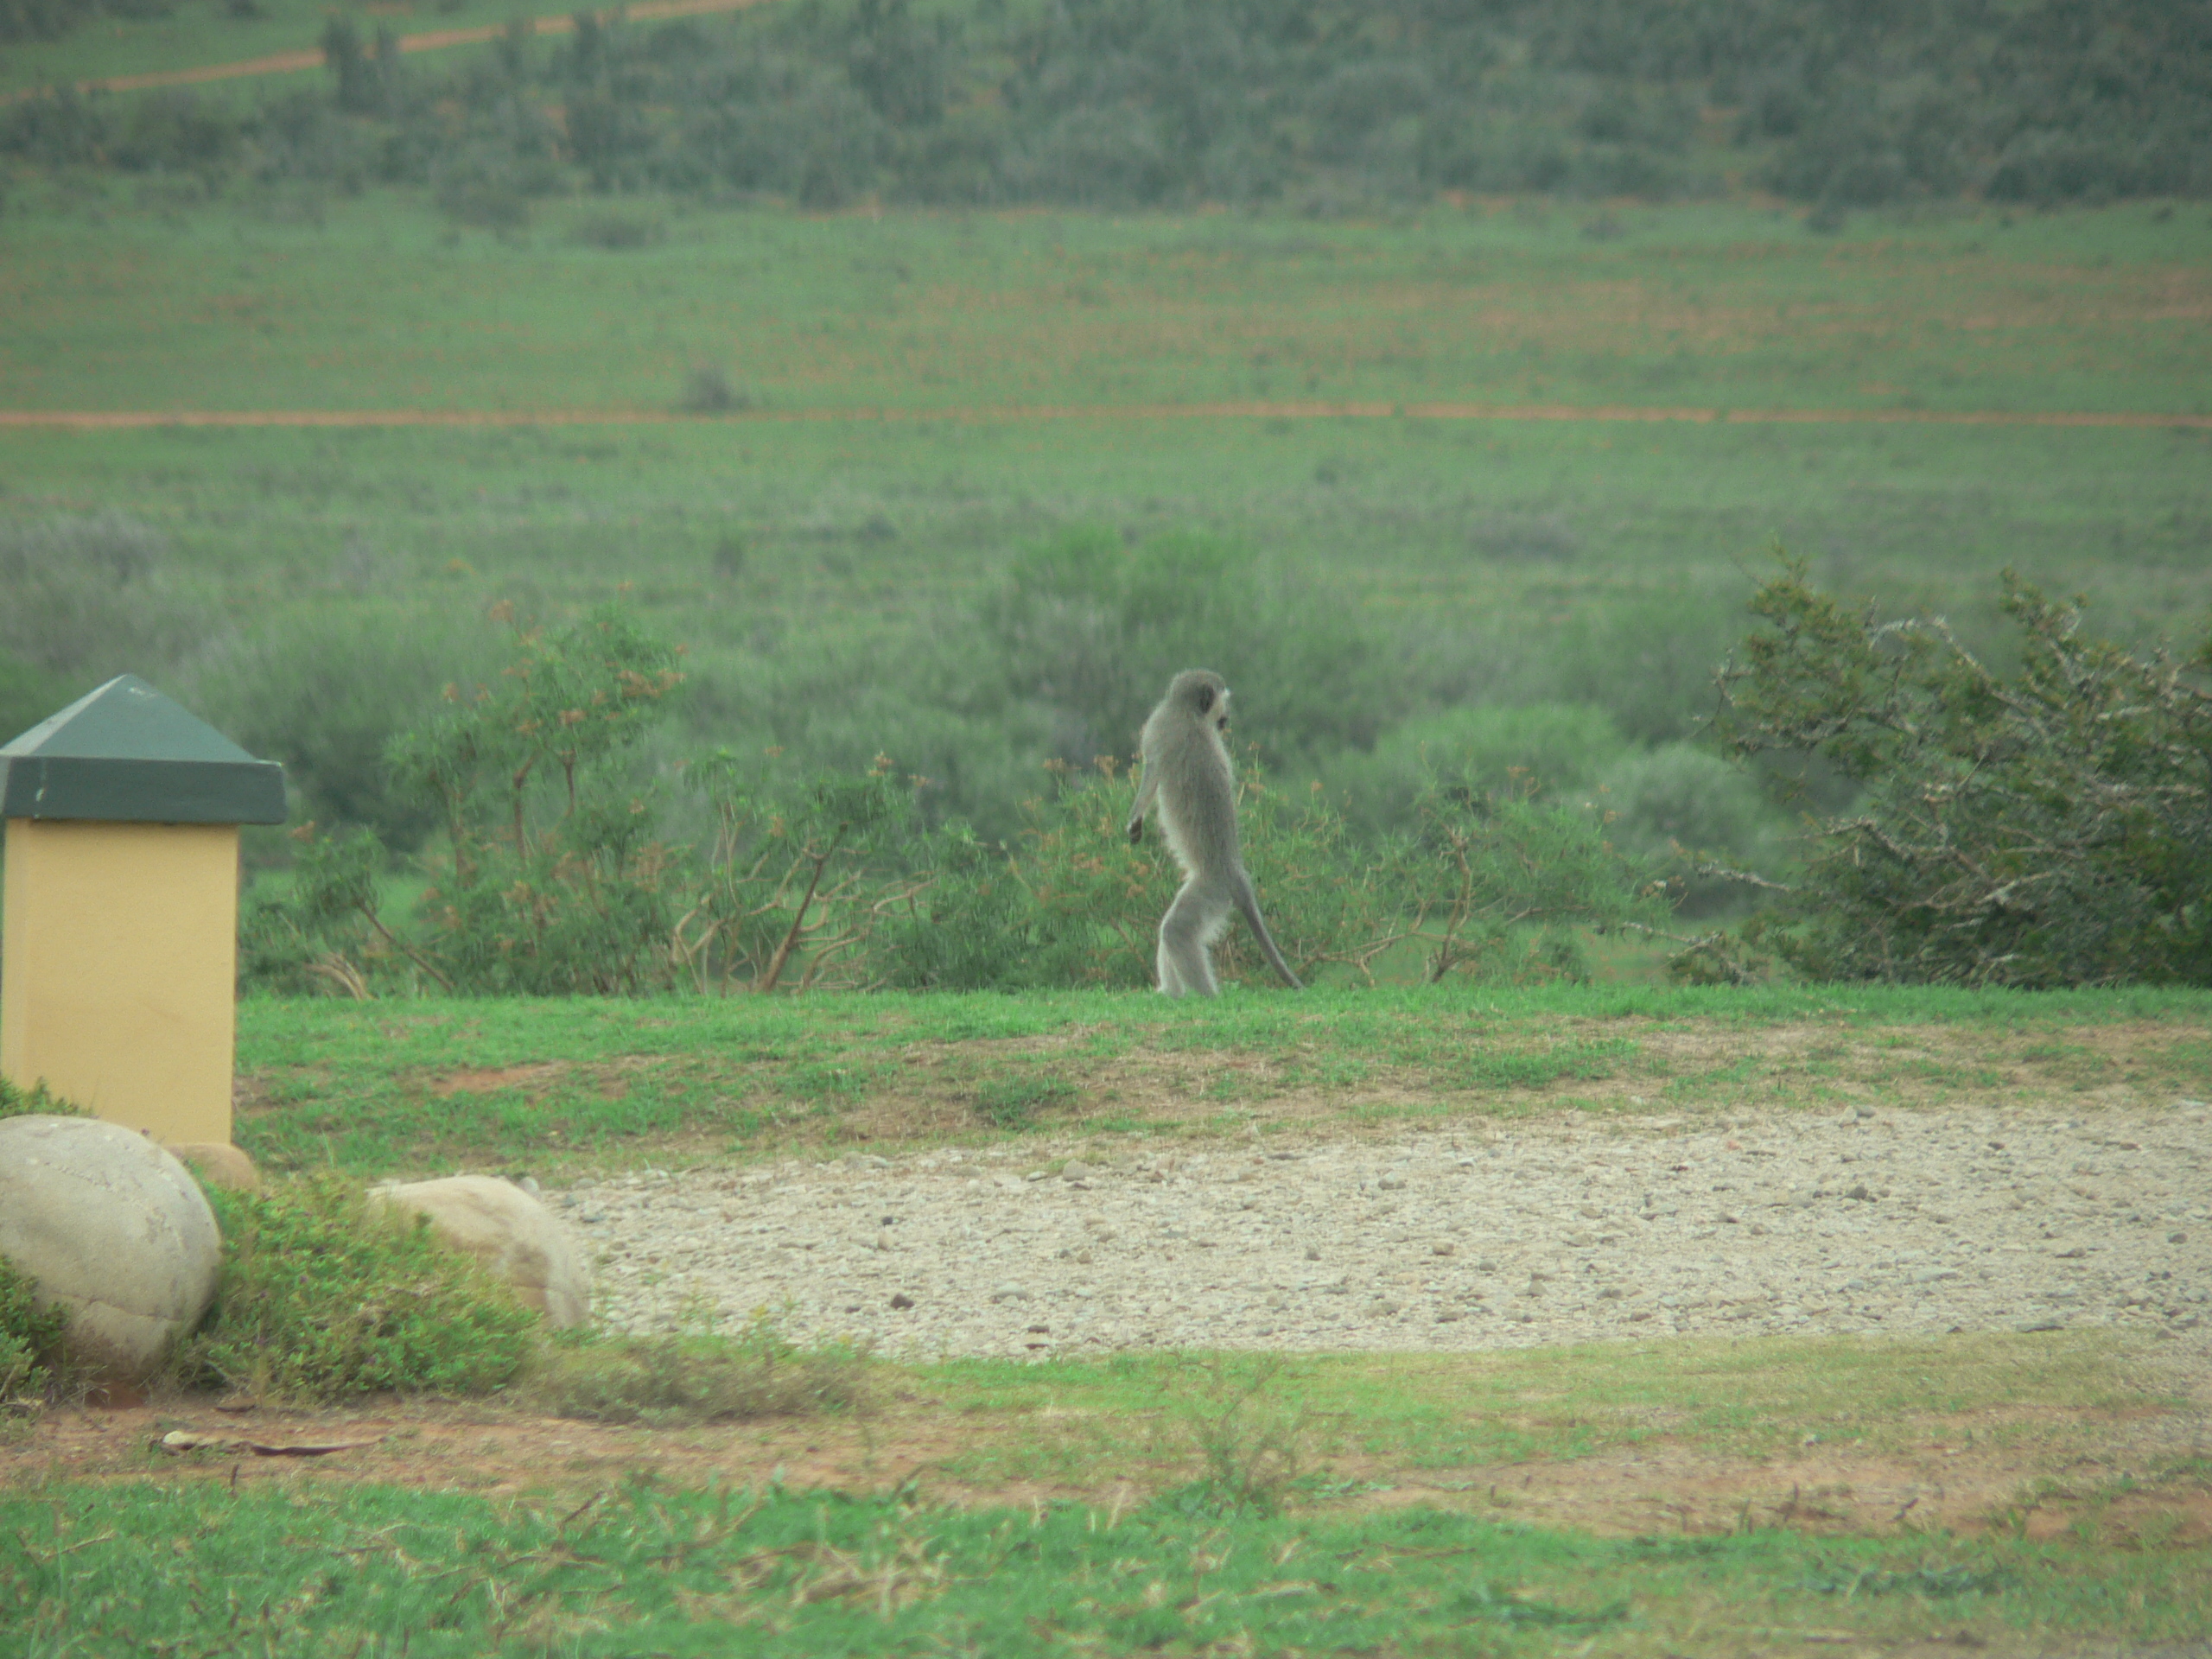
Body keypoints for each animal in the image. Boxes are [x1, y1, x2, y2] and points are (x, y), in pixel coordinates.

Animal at [1123, 668, 1292, 995]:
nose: (1227, 718)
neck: (1185, 710)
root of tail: (1234, 872)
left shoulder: (1157, 728)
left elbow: (1150, 775)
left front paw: (1135, 819)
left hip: (1211, 891)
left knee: (1175, 931)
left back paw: (1206, 997)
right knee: (1170, 929)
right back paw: (1171, 994)